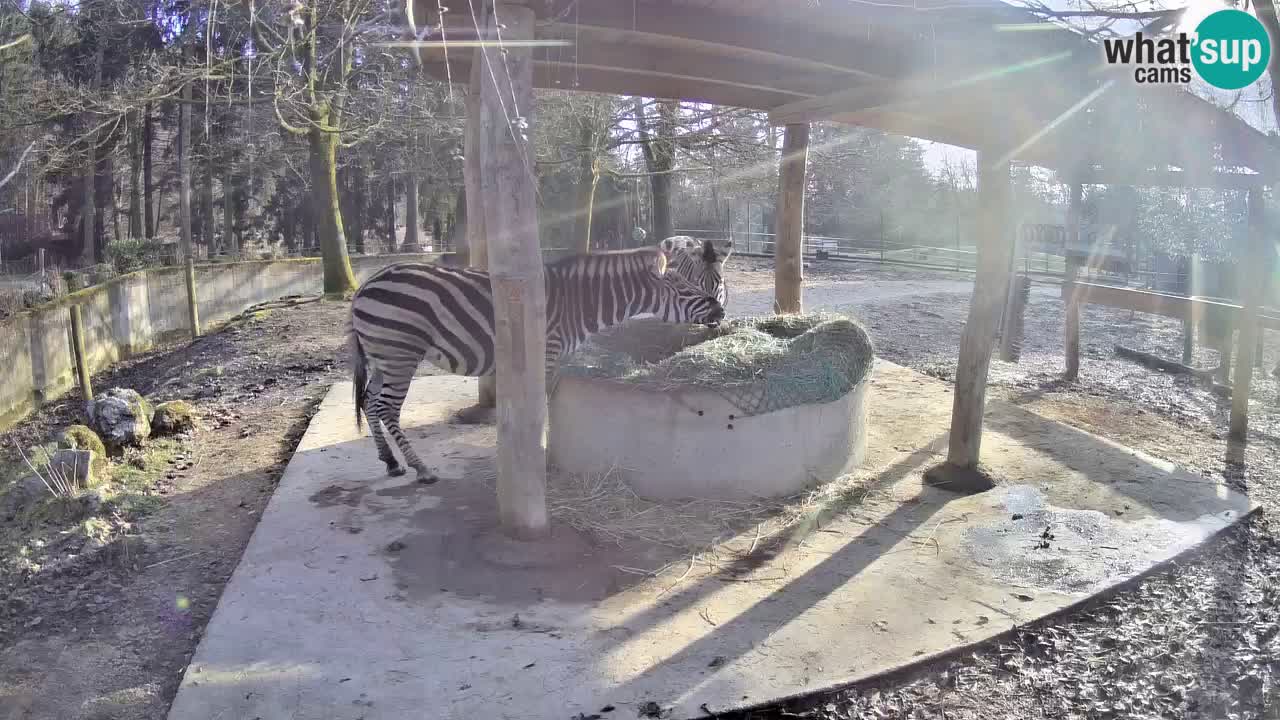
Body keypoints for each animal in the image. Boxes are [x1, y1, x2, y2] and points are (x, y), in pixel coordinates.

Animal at [350, 245, 727, 481]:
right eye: (684, 288)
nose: (722, 312)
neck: (580, 304)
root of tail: (365, 285)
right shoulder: (545, 353)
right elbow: (541, 407)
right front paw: (540, 456)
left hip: (383, 354)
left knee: (370, 401)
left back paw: (390, 462)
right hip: (401, 352)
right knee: (387, 407)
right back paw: (421, 468)